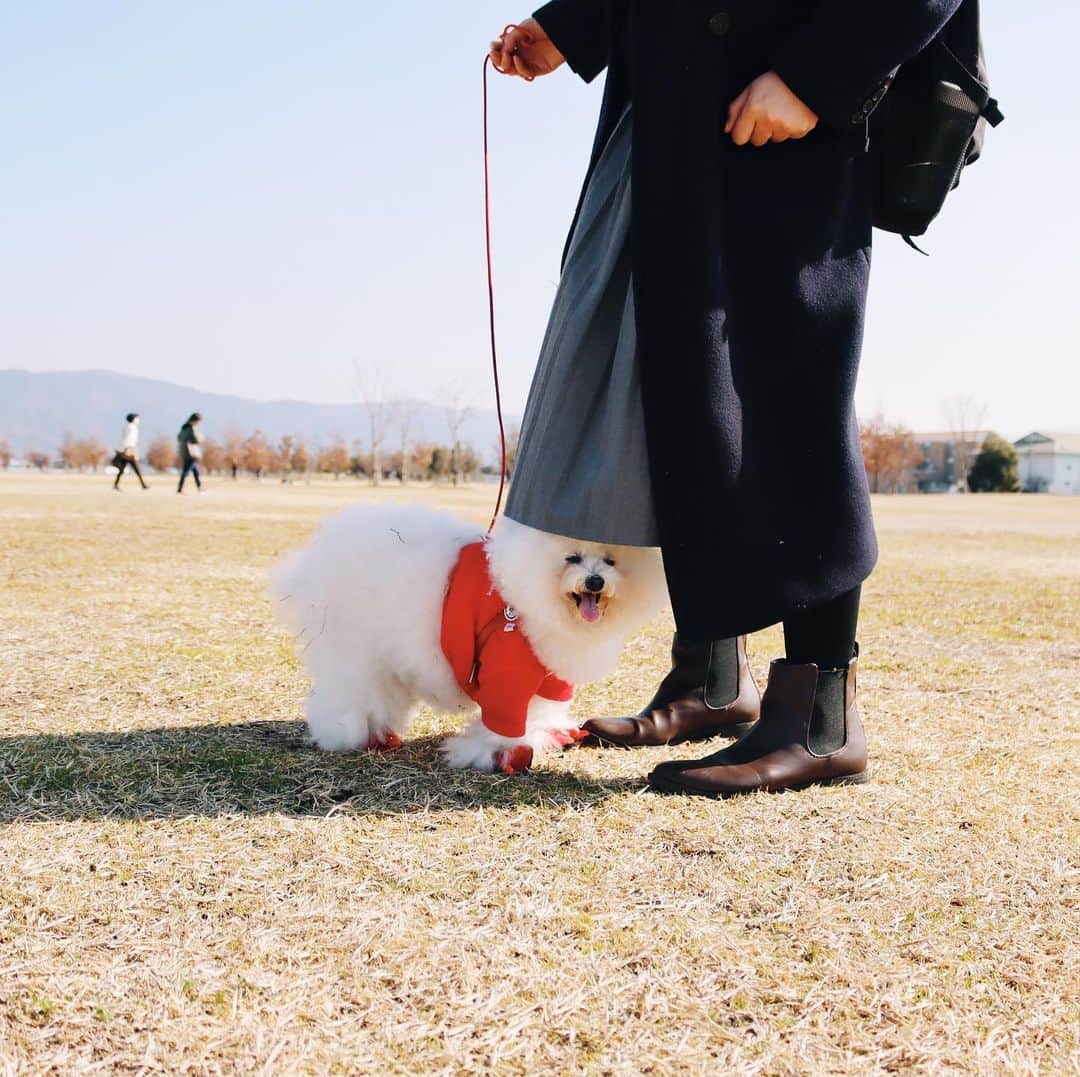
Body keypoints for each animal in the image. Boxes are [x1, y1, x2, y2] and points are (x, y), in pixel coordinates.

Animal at [270, 505, 665, 773]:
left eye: (610, 561)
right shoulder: (507, 675)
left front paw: (546, 734)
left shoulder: (551, 679)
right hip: (356, 651)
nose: (595, 581)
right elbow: (505, 721)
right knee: (350, 695)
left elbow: (542, 710)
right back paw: (346, 733)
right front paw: (500, 752)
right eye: (572, 558)